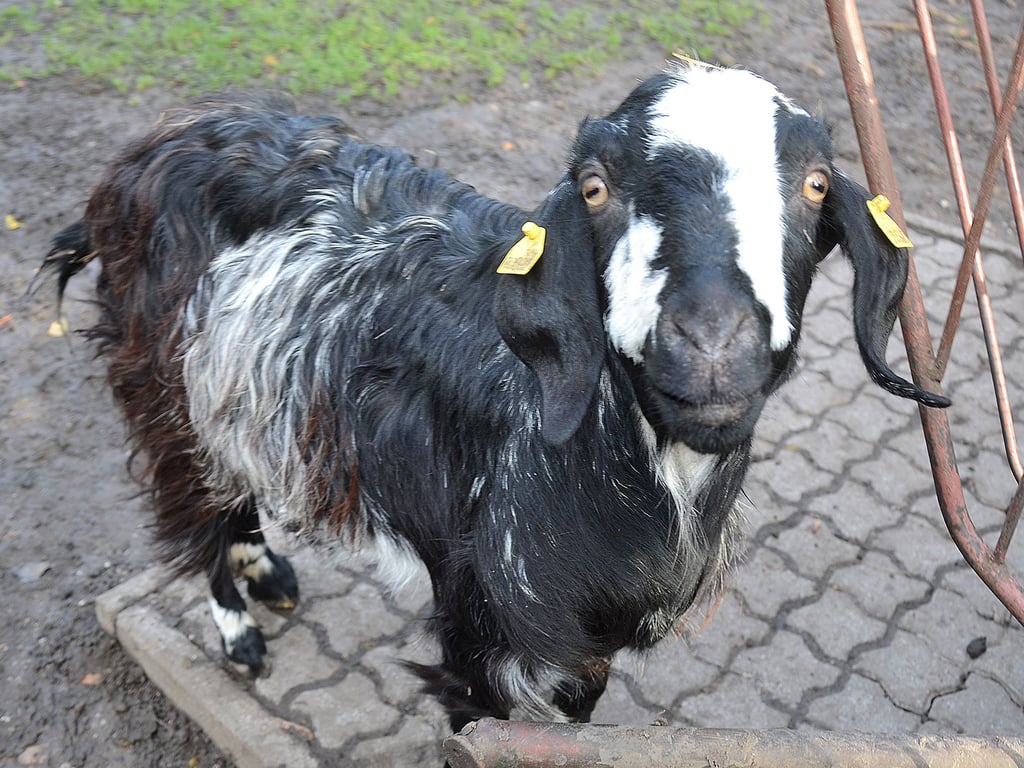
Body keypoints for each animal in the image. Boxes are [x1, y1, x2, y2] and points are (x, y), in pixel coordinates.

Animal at [42, 64, 948, 731]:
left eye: (818, 184)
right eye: (594, 187)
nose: (713, 342)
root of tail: (151, 151)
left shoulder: (588, 646)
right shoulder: (479, 628)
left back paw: (266, 569)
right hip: (160, 380)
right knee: (191, 503)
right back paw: (239, 626)